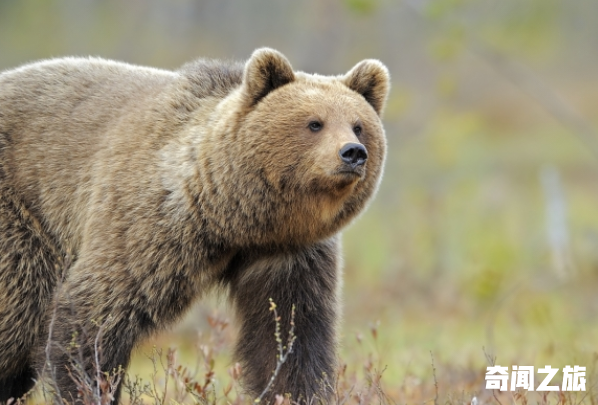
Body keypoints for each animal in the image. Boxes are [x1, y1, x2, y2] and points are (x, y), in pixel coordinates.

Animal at [0, 49, 392, 402]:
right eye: (314, 122)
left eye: (358, 125)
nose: (352, 153)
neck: (235, 220)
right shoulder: (150, 227)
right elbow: (93, 315)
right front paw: (89, 388)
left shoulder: (290, 253)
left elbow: (291, 332)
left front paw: (296, 392)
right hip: (21, 218)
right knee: (17, 313)